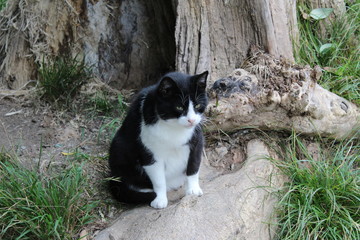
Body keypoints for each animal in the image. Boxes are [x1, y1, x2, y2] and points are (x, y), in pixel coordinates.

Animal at [108, 71, 208, 208]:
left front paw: (193, 189)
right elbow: (159, 180)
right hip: (118, 146)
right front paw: (159, 199)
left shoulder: (197, 140)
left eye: (198, 105)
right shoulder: (149, 151)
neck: (174, 127)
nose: (192, 120)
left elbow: (193, 166)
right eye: (179, 107)